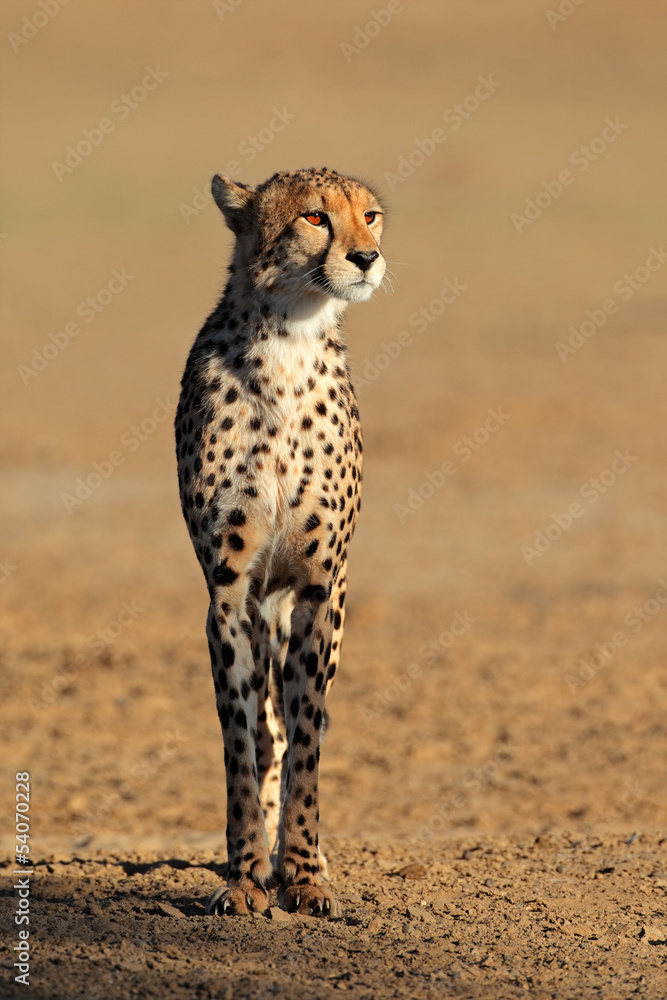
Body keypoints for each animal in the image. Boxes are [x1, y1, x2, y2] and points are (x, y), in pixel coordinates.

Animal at [175, 168, 388, 916]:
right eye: (314, 217)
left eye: (370, 216)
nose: (366, 258)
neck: (289, 343)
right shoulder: (229, 590)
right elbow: (243, 742)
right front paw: (245, 876)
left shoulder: (320, 587)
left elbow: (306, 740)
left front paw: (302, 872)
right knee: (265, 732)